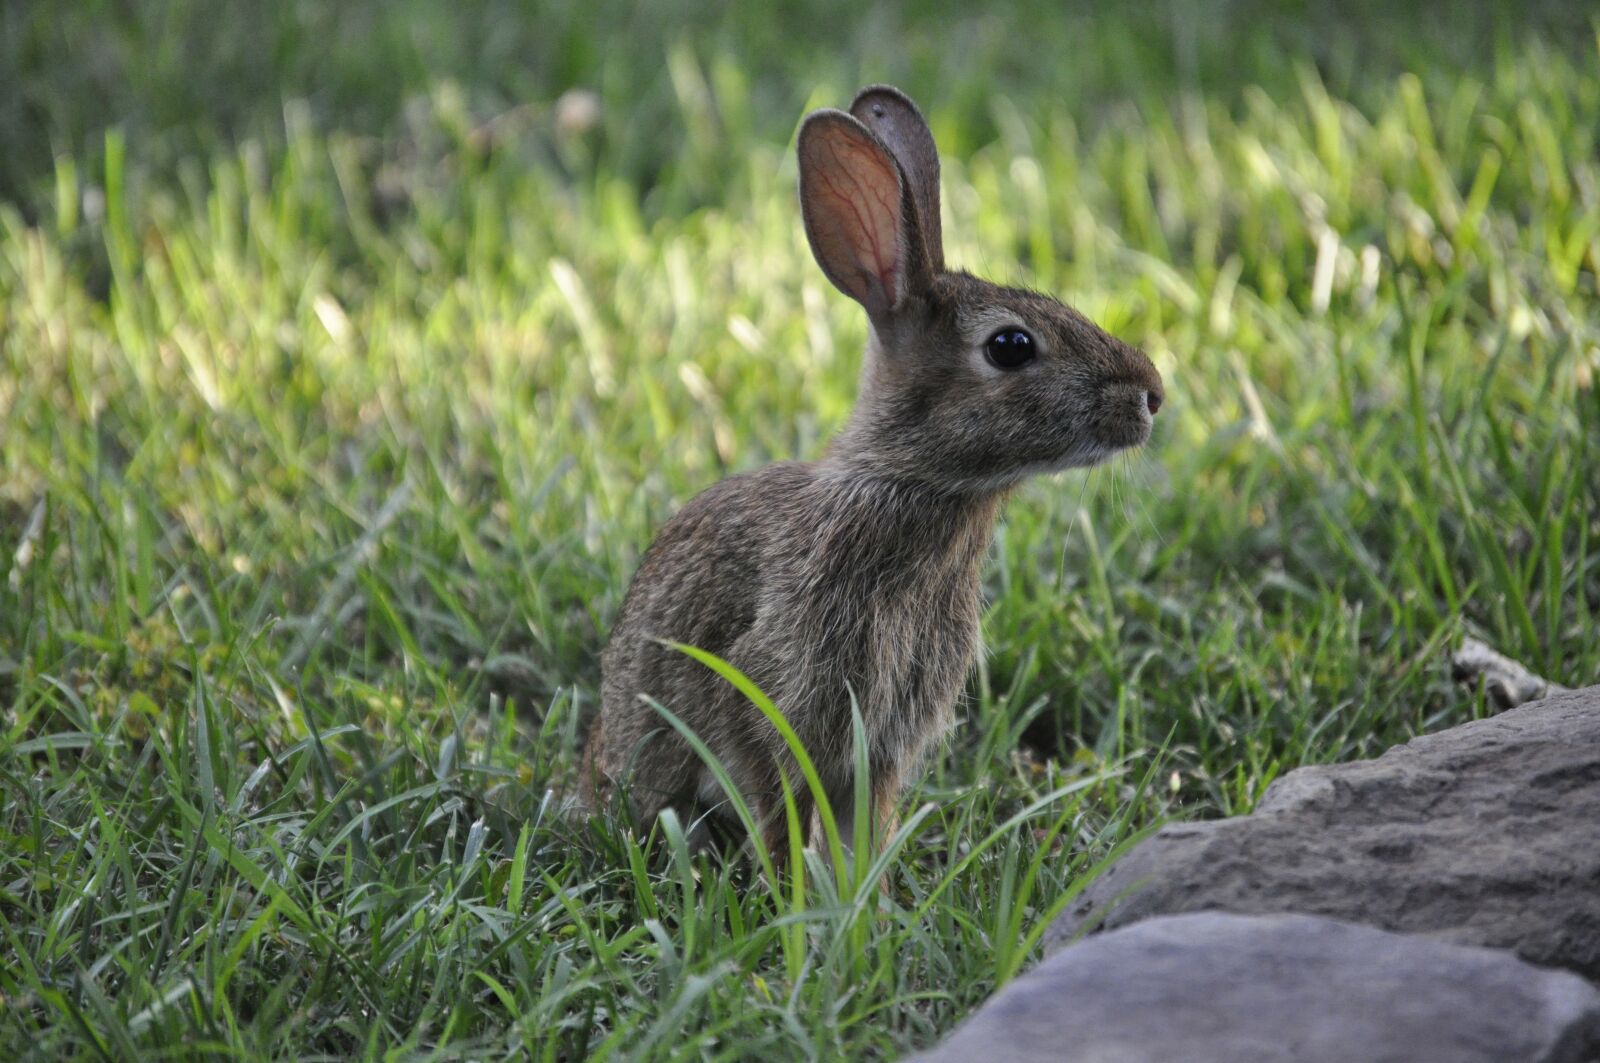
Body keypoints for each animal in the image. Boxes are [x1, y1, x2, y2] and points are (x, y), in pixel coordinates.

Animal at [584, 85, 1163, 864]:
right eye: (1011, 346)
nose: (1152, 394)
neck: (911, 482)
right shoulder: (775, 704)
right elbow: (780, 814)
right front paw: (795, 891)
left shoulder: (883, 744)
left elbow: (869, 826)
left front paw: (870, 891)